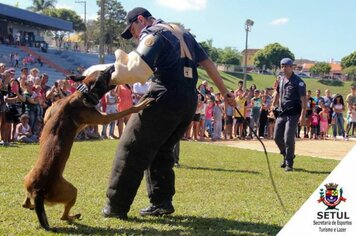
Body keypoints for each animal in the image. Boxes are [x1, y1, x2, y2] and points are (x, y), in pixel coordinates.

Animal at [20, 66, 152, 230]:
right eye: (105, 74)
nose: (112, 67)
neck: (82, 93)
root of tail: (38, 191)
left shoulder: (50, 112)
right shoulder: (104, 118)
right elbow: (126, 110)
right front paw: (141, 104)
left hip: (28, 177)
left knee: (25, 202)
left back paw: (31, 205)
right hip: (71, 192)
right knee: (63, 216)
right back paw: (73, 216)